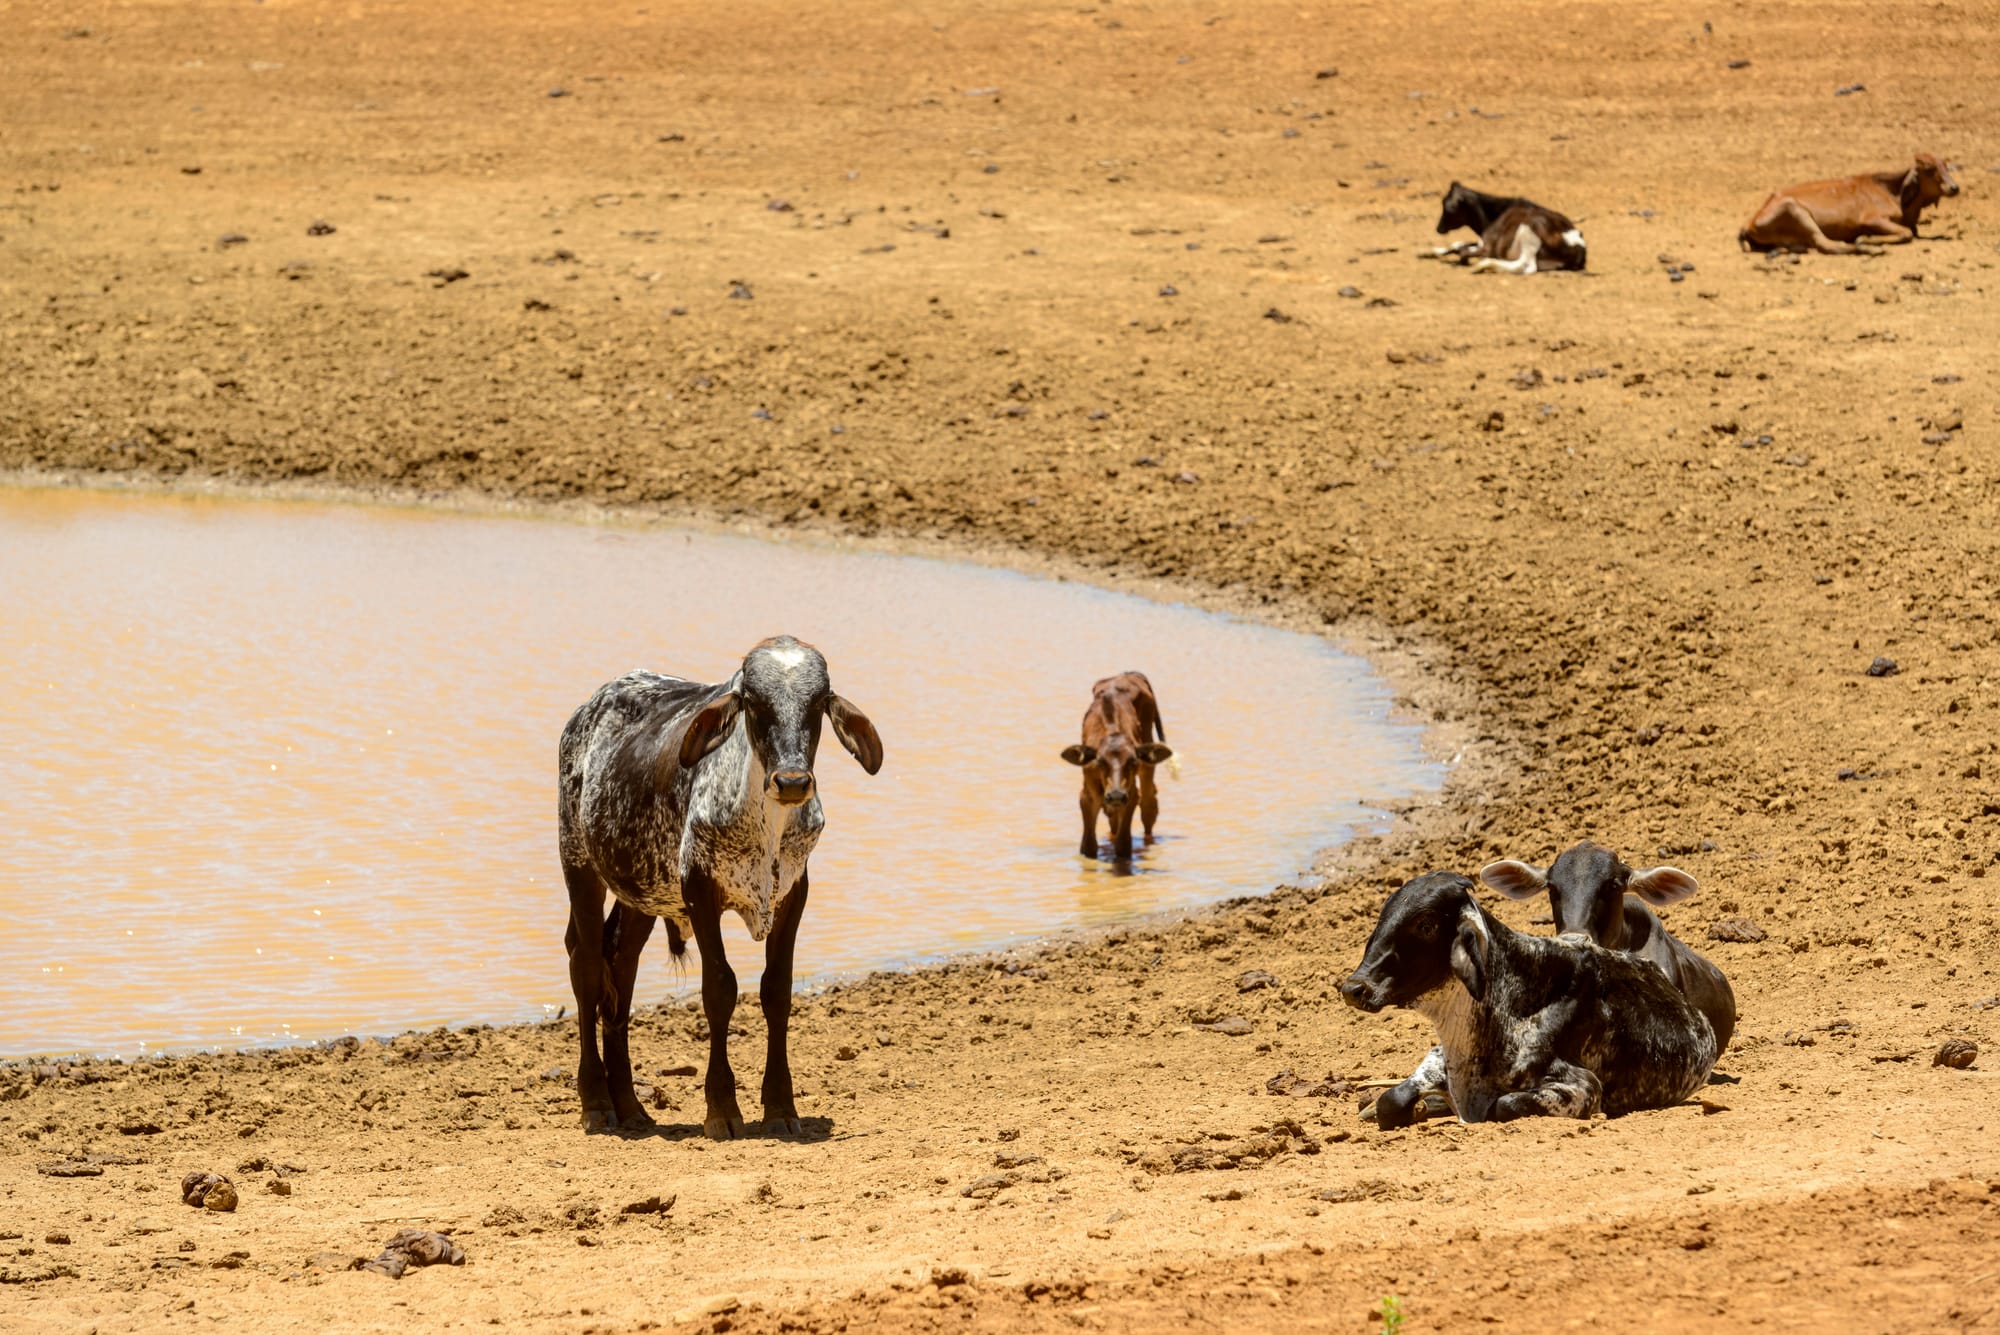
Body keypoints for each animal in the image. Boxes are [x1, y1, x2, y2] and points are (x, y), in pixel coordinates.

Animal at [560, 635, 880, 1135]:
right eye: (753, 702)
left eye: (818, 703)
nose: (792, 782)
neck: (765, 825)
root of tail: (589, 709)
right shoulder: (698, 888)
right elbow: (719, 989)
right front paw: (722, 1108)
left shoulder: (794, 892)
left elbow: (777, 991)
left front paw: (781, 1107)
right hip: (579, 864)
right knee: (588, 966)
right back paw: (596, 1102)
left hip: (642, 894)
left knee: (621, 968)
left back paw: (630, 1105)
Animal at [1064, 671, 1168, 859]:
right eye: (1099, 761)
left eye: (1133, 760)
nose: (1116, 795)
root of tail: (1130, 673)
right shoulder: (1088, 796)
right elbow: (1088, 847)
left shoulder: (1131, 795)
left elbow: (1123, 845)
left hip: (1147, 764)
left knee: (1149, 806)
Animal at [1336, 867, 1712, 1127]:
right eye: (1384, 915)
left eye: (1426, 925)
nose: (1355, 988)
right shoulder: (1438, 1056)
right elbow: (1391, 1100)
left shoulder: (1584, 1089)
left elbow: (1502, 1105)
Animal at [1432, 179, 1584, 275]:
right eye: (1442, 202)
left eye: (1450, 208)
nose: (1438, 229)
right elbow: (1458, 244)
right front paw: (1432, 251)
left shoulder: (1488, 246)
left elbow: (1463, 250)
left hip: (1529, 230)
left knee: (1526, 265)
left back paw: (1483, 266)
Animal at [1744, 152, 1960, 253]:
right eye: (1929, 169)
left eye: (1946, 166)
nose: (1954, 188)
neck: (1892, 192)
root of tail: (1750, 224)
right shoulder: (1873, 220)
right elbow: (1907, 233)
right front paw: (1865, 238)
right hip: (1795, 210)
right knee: (1826, 244)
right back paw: (1867, 248)